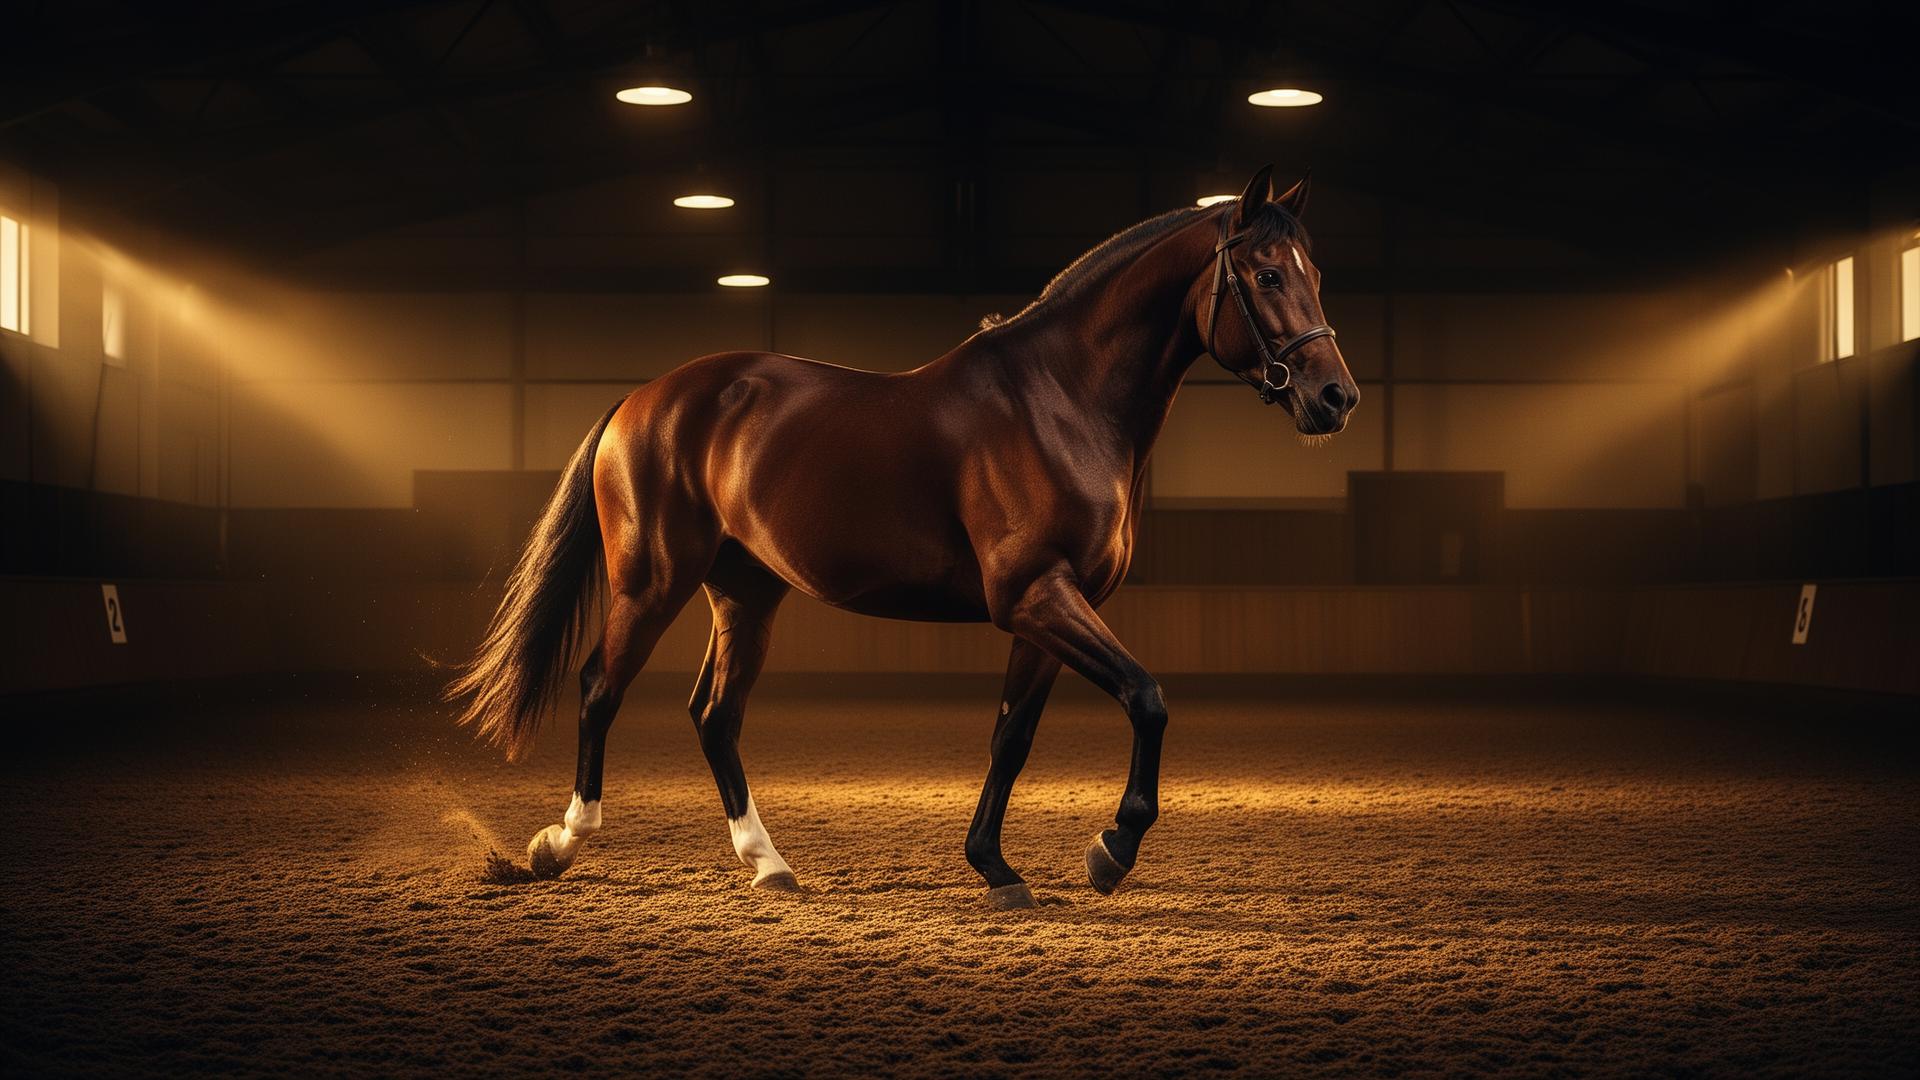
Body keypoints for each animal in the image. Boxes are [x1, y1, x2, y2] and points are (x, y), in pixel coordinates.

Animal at [445, 165, 1360, 909]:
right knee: (602, 688)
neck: (1060, 401)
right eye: (1267, 274)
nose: (1336, 398)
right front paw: (1111, 850)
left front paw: (996, 867)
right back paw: (560, 845)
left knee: (716, 714)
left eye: (1315, 274)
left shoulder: (1045, 611)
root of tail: (641, 399)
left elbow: (1011, 737)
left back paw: (770, 865)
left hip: (745, 594)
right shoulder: (1037, 596)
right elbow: (1146, 697)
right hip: (652, 579)